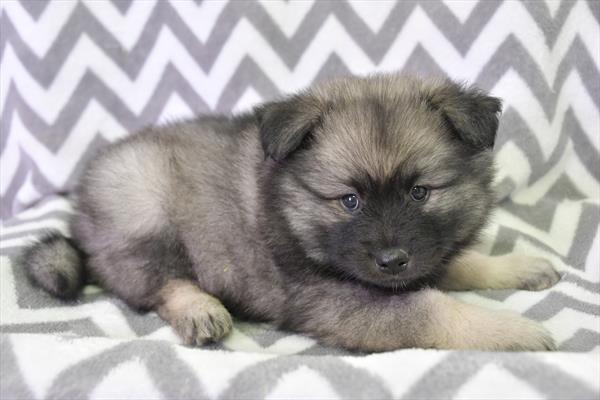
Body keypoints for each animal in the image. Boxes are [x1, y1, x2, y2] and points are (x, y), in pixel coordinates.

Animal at [22, 74, 556, 350]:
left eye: (420, 193)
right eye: (349, 199)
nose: (391, 261)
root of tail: (79, 218)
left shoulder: (424, 254)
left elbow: (459, 263)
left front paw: (517, 265)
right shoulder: (333, 300)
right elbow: (432, 310)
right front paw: (515, 331)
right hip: (142, 208)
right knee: (159, 284)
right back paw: (201, 310)